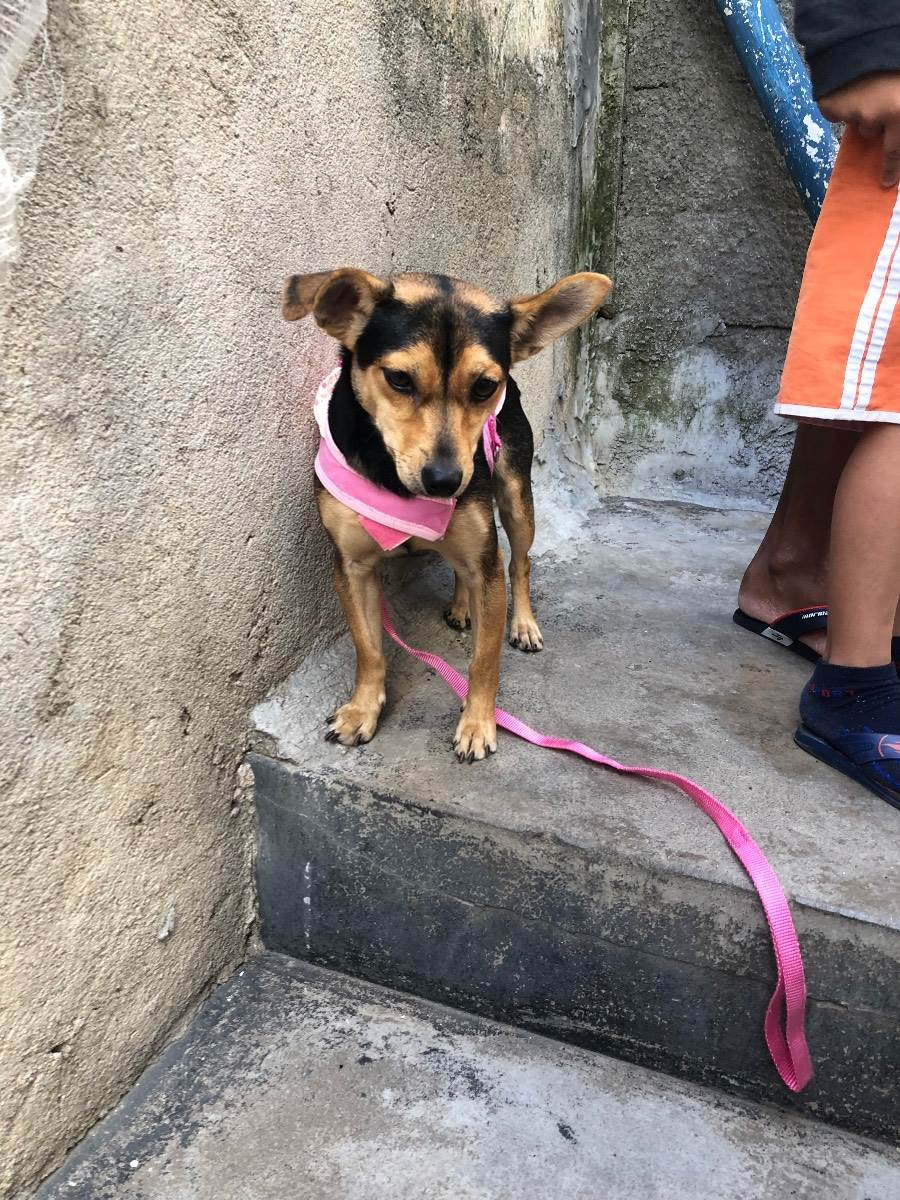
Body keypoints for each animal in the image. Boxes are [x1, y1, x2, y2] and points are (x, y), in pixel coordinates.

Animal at [282, 268, 611, 762]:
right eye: (399, 378)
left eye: (484, 386)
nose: (444, 481)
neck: (396, 481)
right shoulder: (352, 566)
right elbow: (368, 648)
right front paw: (362, 711)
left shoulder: (484, 560)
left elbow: (484, 659)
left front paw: (477, 724)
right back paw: (461, 606)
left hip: (515, 498)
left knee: (520, 563)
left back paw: (523, 623)